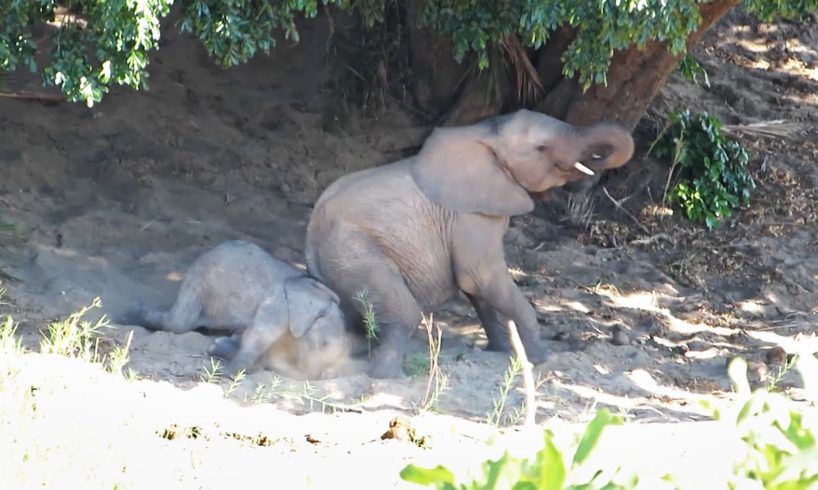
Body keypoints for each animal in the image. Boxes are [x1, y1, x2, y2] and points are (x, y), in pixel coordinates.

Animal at [302, 109, 636, 378]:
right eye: (541, 148)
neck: (485, 134)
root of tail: (311, 237)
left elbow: (480, 291)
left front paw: (502, 351)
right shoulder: (468, 217)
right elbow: (480, 278)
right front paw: (541, 359)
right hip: (356, 252)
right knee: (403, 313)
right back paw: (389, 378)